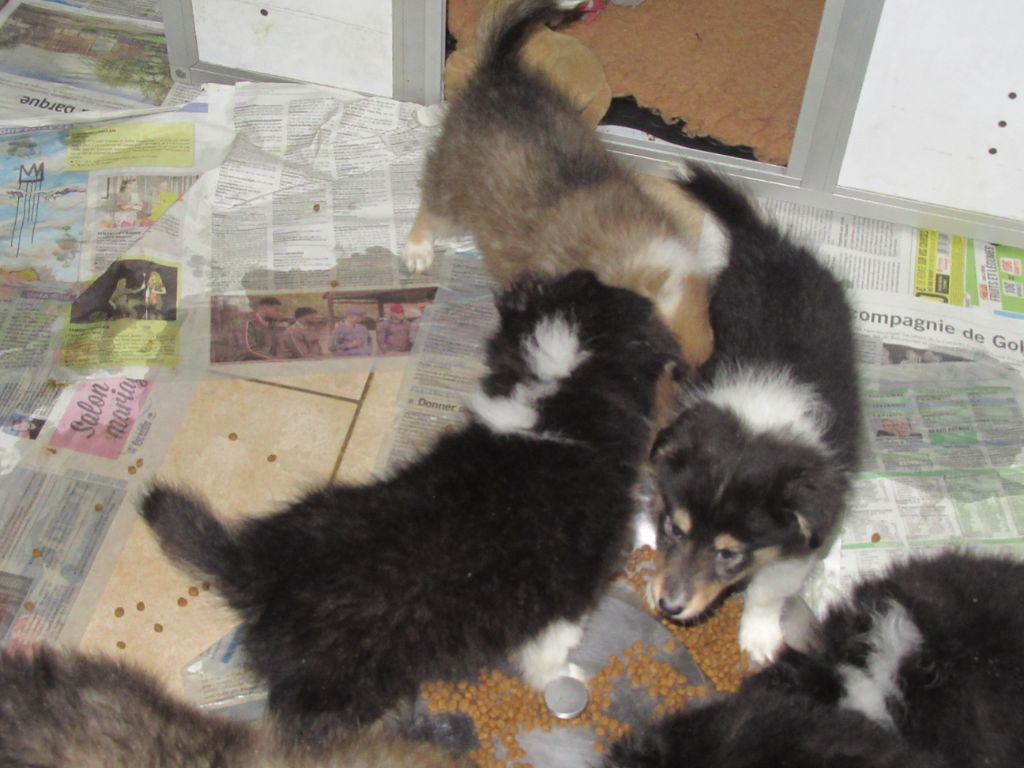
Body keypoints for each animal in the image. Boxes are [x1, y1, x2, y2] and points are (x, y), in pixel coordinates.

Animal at [142, 269, 678, 730]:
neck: (553, 405)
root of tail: (255, 568)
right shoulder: (570, 593)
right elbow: (550, 651)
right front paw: (565, 679)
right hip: (339, 687)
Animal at [648, 164, 862, 663]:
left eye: (729, 554)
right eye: (673, 528)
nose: (668, 605)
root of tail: (765, 242)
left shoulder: (800, 541)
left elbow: (769, 591)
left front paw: (760, 638)